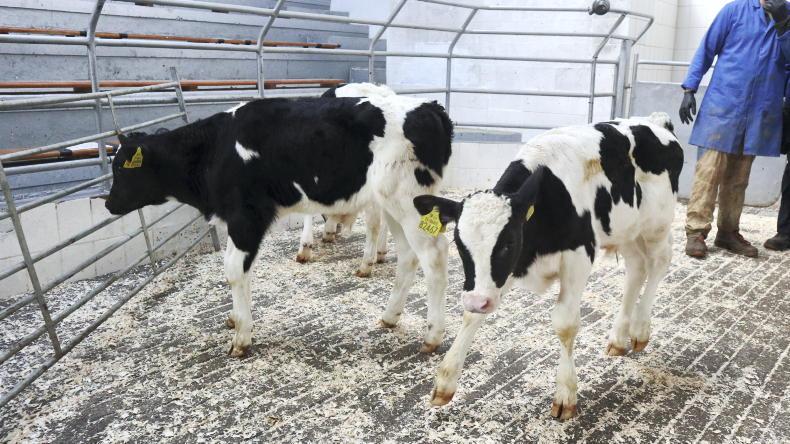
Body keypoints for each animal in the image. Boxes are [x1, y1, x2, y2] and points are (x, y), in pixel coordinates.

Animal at [105, 93, 454, 357]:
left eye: (122, 168)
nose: (108, 204)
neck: (215, 151)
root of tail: (429, 107)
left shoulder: (247, 215)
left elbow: (234, 271)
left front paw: (242, 336)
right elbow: (237, 271)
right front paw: (236, 318)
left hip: (409, 202)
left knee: (435, 256)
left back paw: (433, 336)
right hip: (392, 205)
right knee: (408, 256)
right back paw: (389, 316)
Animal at [413, 113, 683, 420]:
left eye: (508, 242)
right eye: (459, 243)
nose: (476, 300)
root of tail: (655, 122)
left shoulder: (578, 256)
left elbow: (565, 325)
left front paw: (566, 394)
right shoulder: (504, 271)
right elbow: (472, 318)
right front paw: (446, 380)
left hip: (656, 225)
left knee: (660, 262)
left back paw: (639, 330)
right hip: (625, 229)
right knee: (637, 269)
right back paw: (618, 337)